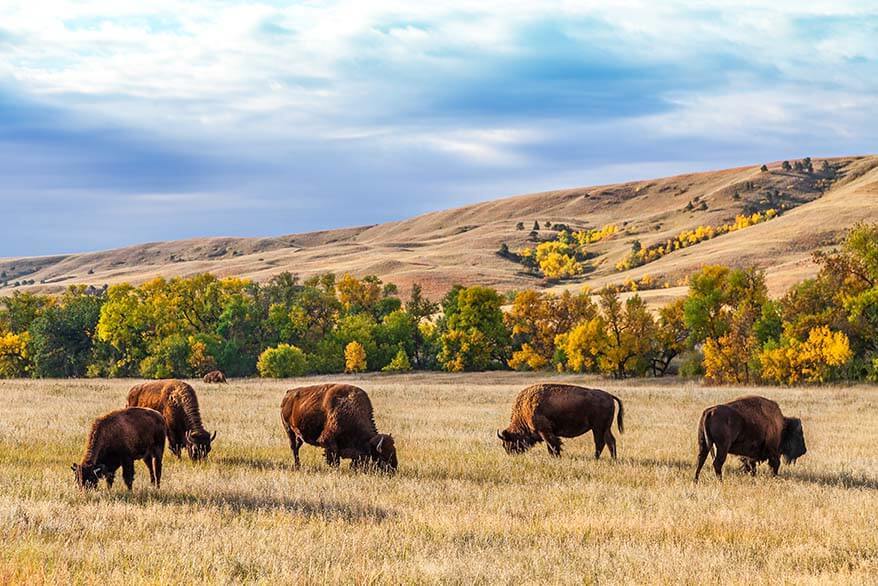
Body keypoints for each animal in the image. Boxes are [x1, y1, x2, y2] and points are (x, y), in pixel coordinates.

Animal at [498, 380, 628, 458]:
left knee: (600, 442)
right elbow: (551, 446)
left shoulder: (545, 431)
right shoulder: (547, 433)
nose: (510, 453)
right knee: (610, 441)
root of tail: (609, 396)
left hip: (598, 428)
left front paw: (556, 457)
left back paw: (596, 458)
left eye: (508, 441)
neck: (525, 407)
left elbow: (553, 444)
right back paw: (613, 459)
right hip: (605, 428)